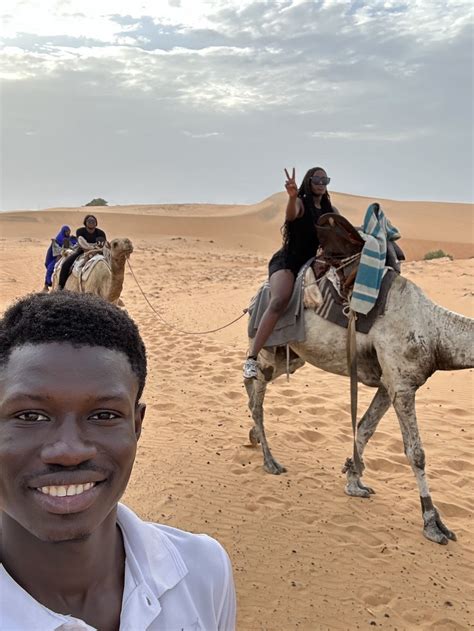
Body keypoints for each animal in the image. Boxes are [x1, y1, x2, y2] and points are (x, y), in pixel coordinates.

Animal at [245, 272, 474, 545]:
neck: (435, 332)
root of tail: (254, 298)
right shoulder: (402, 384)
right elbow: (416, 453)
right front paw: (434, 524)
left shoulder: (388, 384)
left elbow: (365, 428)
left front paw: (354, 481)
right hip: (267, 346)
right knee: (257, 398)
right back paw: (270, 462)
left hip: (292, 355)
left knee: (252, 385)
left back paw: (254, 436)